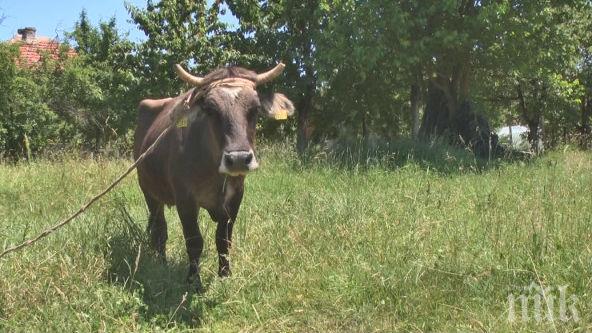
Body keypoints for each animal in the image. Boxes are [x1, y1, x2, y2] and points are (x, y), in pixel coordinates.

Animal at [132, 62, 294, 288]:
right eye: (210, 110)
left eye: (255, 109)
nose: (238, 158)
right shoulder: (185, 200)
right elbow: (194, 241)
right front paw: (193, 280)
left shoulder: (235, 197)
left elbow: (224, 240)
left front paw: (225, 275)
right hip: (148, 190)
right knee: (159, 229)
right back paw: (162, 262)